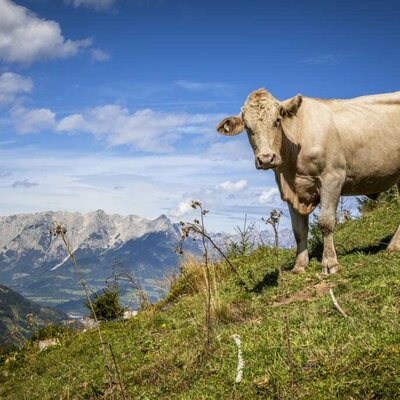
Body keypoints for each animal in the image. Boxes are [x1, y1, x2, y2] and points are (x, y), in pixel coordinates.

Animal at [217, 88, 400, 274]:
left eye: (277, 121)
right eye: (248, 127)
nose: (266, 158)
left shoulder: (332, 178)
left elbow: (325, 222)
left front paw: (329, 263)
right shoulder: (290, 190)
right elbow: (299, 230)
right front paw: (299, 265)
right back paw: (394, 246)